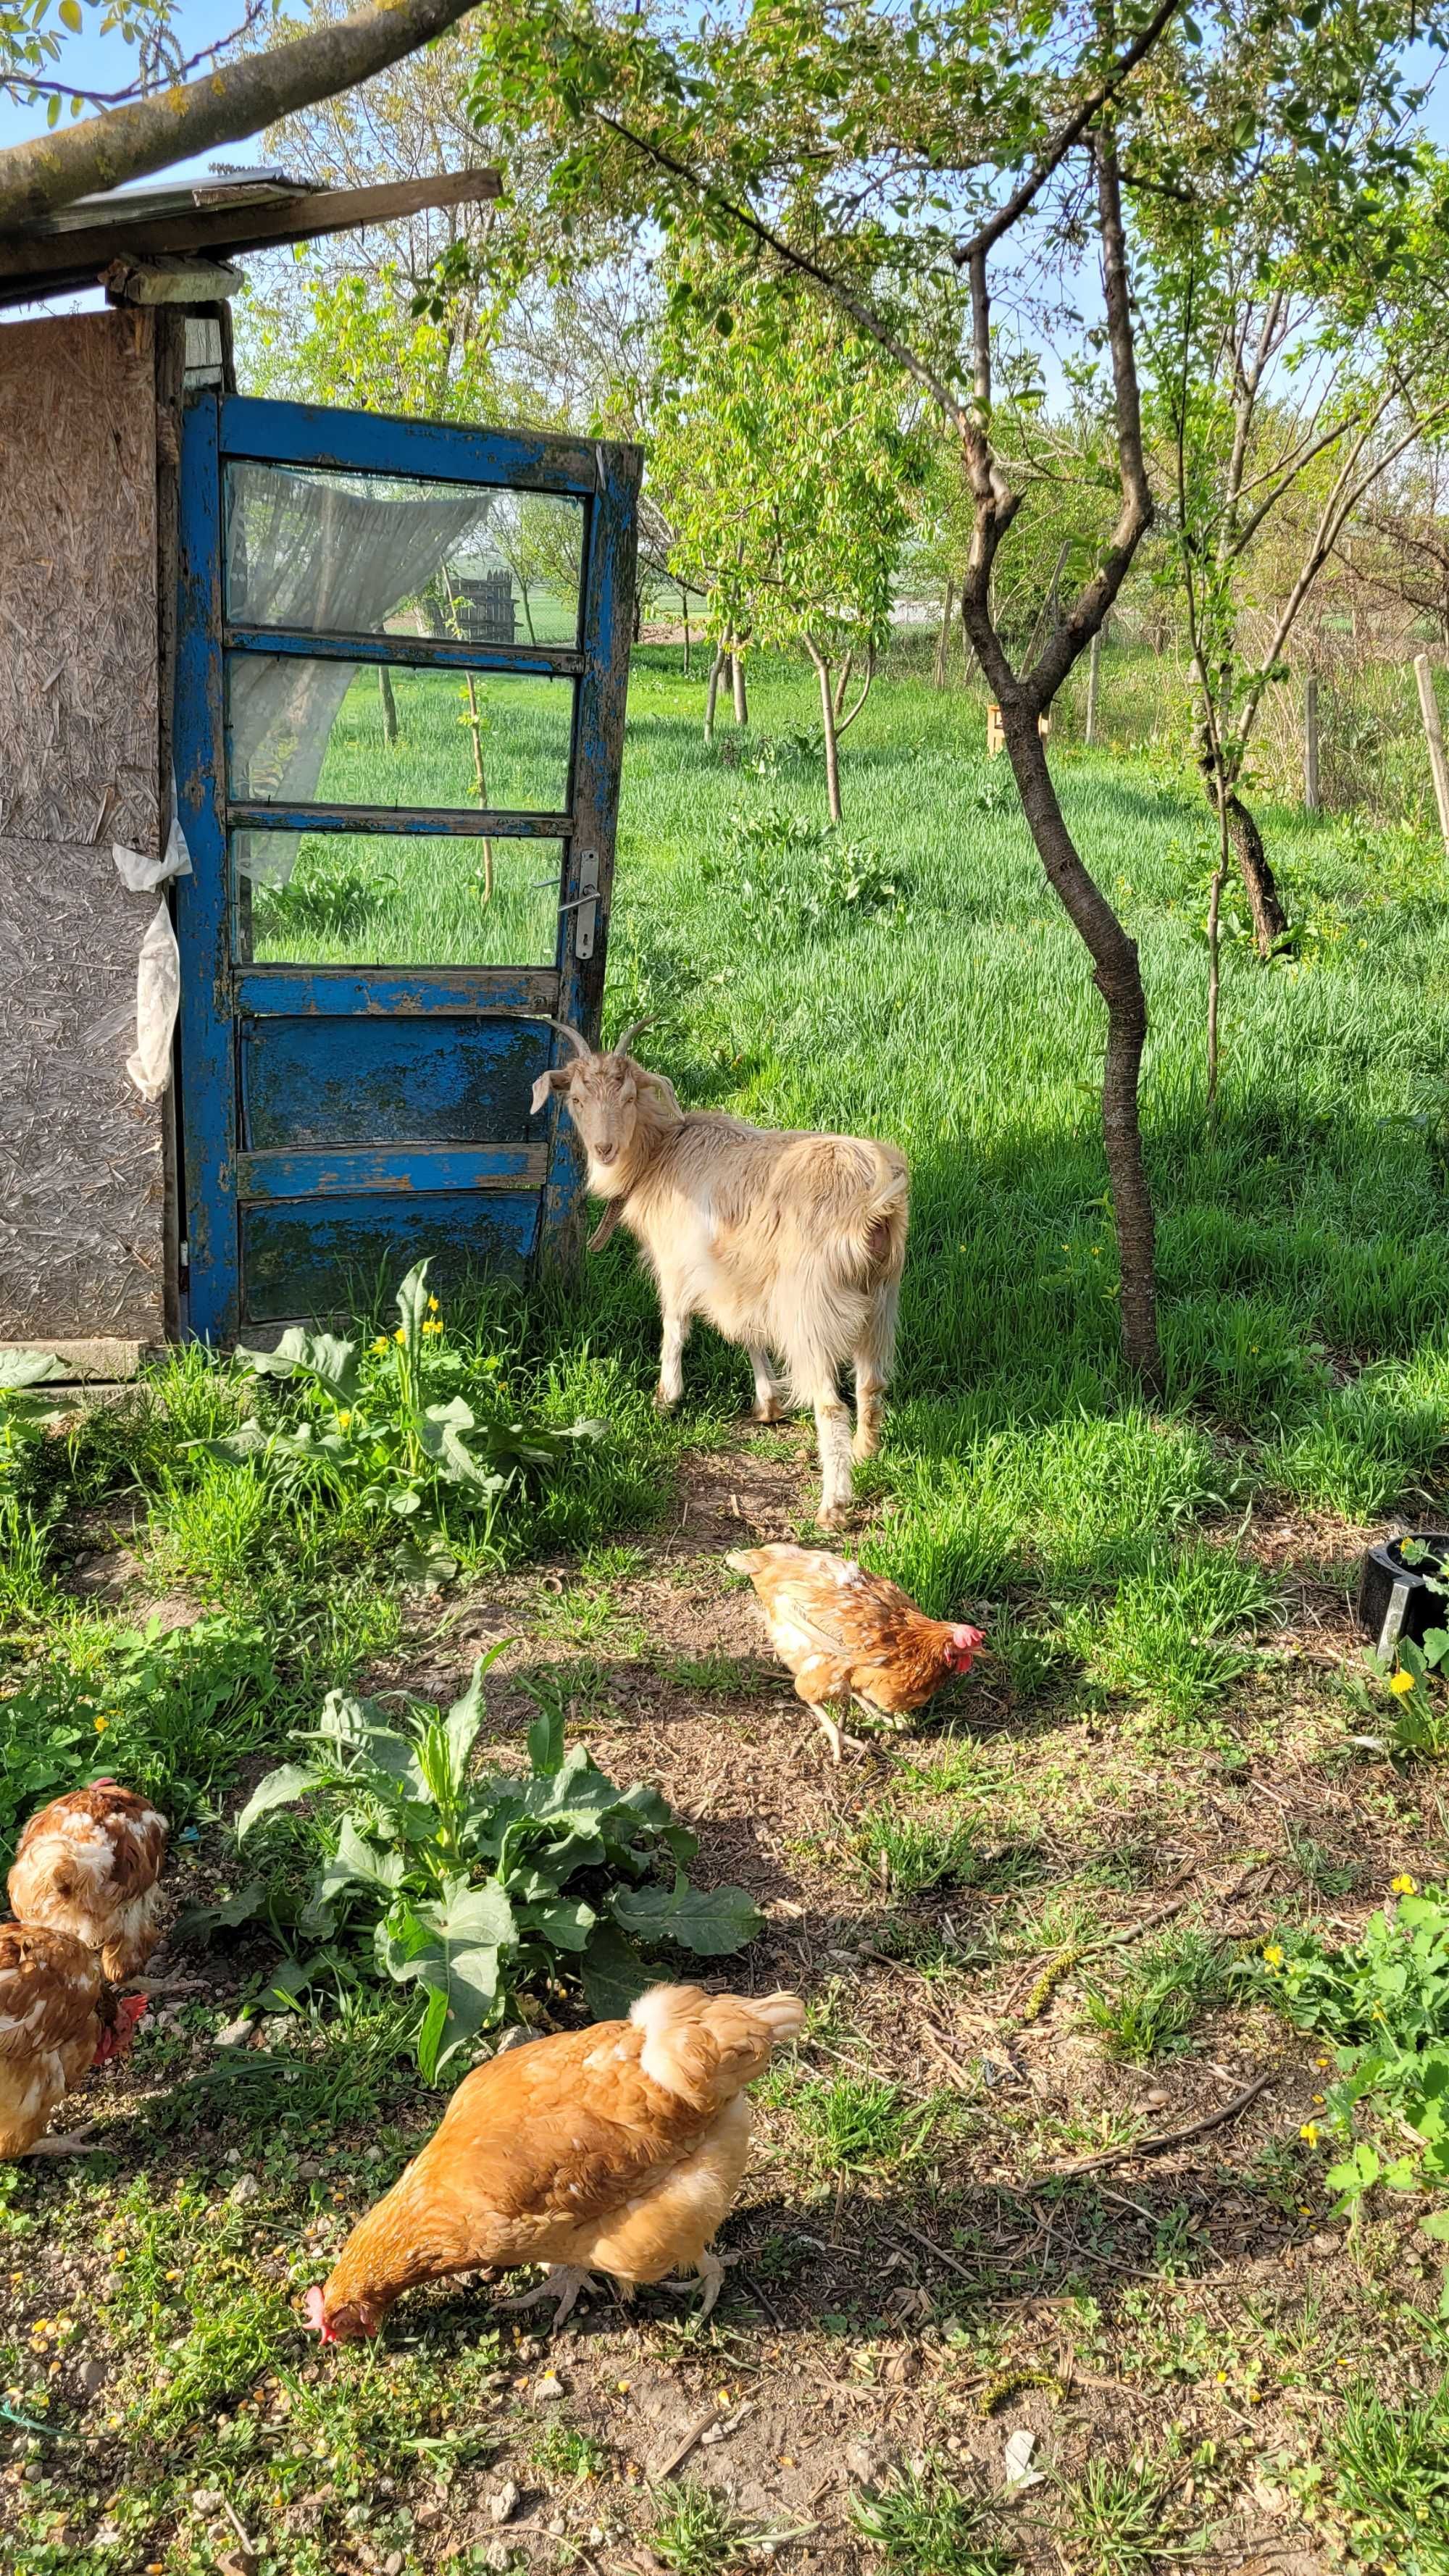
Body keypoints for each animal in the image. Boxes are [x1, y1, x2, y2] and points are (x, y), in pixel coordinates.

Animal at [531, 1015, 902, 1514]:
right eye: (576, 1098)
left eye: (628, 1097)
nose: (605, 1148)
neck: (659, 1155)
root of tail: (874, 1205)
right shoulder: (741, 1276)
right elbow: (750, 1333)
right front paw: (768, 1405)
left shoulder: (678, 1262)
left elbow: (675, 1325)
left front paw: (665, 1399)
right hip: (880, 1301)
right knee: (871, 1384)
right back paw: (865, 1453)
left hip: (809, 1306)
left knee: (831, 1404)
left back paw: (834, 1505)